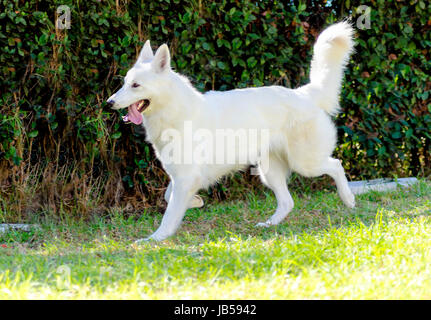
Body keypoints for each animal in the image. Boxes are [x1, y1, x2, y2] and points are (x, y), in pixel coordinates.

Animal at [107, 21, 354, 240]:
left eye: (136, 85)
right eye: (125, 83)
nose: (109, 103)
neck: (175, 110)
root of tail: (304, 93)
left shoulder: (186, 176)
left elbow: (168, 215)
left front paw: (155, 239)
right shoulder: (182, 176)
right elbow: (169, 196)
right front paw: (195, 202)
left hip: (305, 163)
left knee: (336, 165)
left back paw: (349, 199)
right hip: (269, 171)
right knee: (287, 202)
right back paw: (269, 225)